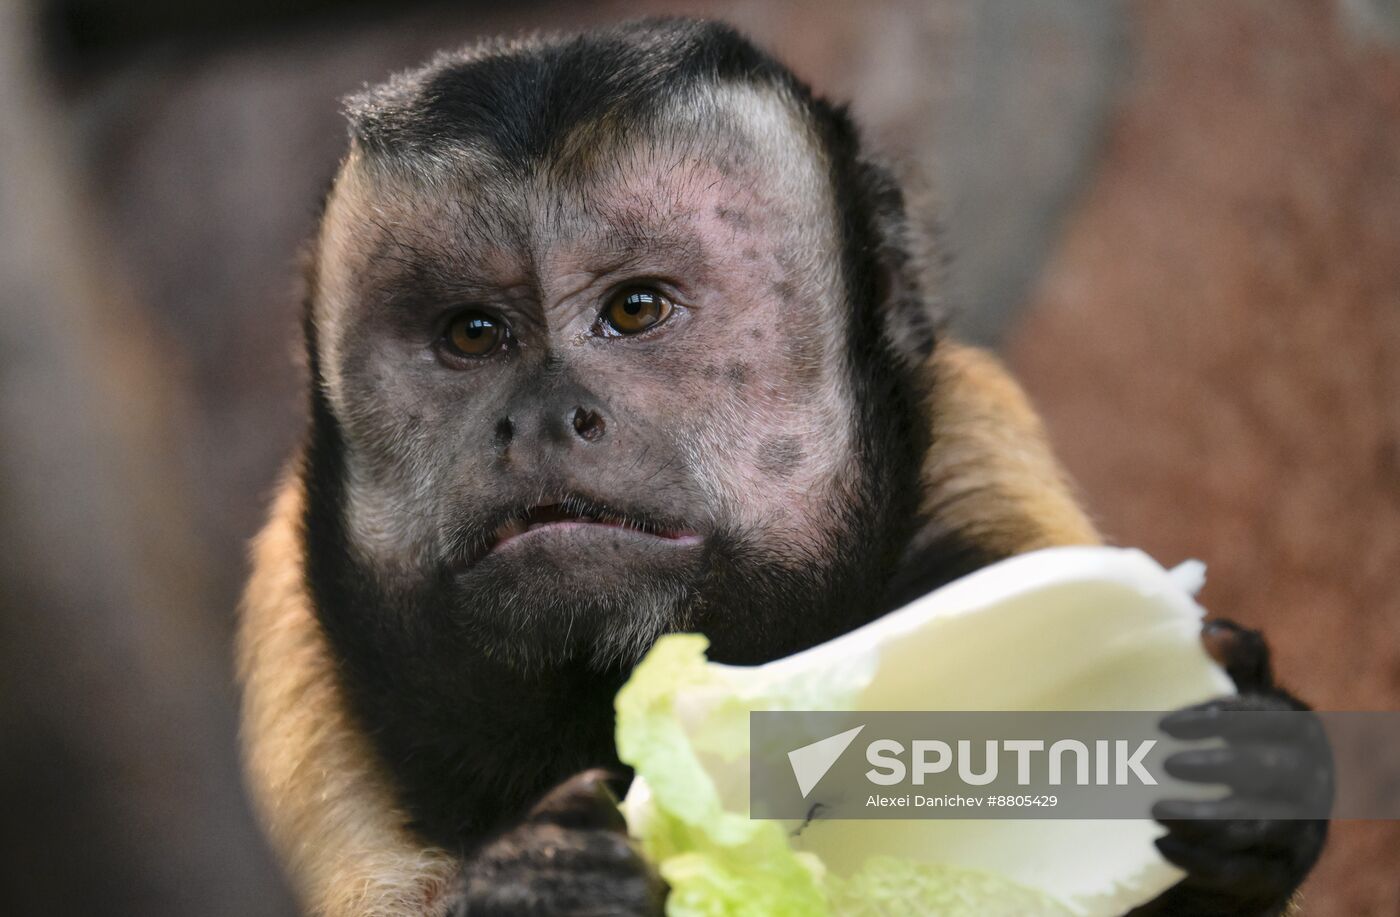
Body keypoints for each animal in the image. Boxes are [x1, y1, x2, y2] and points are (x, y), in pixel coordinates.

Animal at [235, 16, 1327, 917]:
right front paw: (539, 890)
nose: (543, 417)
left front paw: (1250, 798)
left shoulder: (979, 465)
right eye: (473, 333)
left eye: (635, 308)